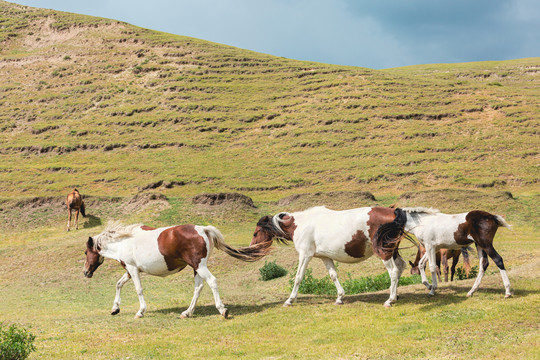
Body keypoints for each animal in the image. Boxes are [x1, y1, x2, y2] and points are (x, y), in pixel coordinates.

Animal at [83, 222, 268, 318]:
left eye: (86, 252)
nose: (86, 272)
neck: (123, 241)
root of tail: (202, 229)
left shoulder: (133, 269)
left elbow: (138, 289)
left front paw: (140, 312)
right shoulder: (129, 270)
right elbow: (119, 284)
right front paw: (115, 309)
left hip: (200, 266)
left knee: (212, 282)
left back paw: (222, 310)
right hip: (196, 268)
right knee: (198, 287)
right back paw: (187, 312)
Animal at [248, 207, 410, 308]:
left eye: (255, 233)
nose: (251, 249)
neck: (301, 224)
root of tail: (393, 212)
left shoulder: (305, 255)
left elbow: (298, 277)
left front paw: (290, 300)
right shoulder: (325, 257)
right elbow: (333, 275)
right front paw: (339, 298)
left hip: (384, 252)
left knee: (393, 272)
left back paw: (390, 300)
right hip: (392, 251)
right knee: (401, 266)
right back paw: (394, 295)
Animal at [378, 208, 512, 298]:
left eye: (393, 218)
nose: (381, 232)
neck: (422, 223)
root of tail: (492, 217)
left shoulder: (430, 246)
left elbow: (432, 267)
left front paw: (432, 290)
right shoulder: (433, 248)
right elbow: (421, 264)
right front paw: (428, 285)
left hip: (485, 244)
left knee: (498, 260)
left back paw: (507, 292)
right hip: (479, 246)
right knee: (483, 265)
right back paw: (471, 291)